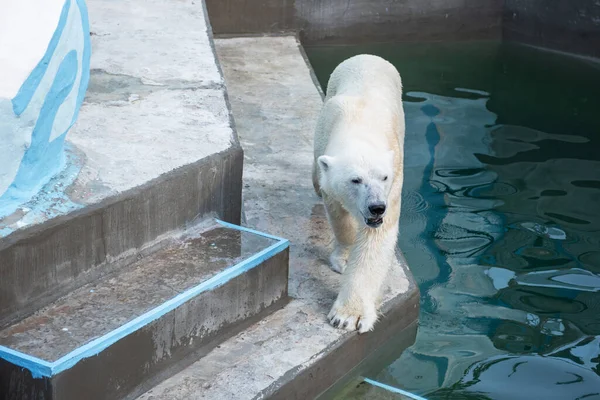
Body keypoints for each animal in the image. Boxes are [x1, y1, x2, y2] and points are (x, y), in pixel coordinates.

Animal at [312, 54, 406, 334]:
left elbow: (375, 241)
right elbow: (339, 215)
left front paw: (347, 316)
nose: (377, 207)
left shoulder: (394, 182)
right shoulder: (329, 170)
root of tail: (368, 56)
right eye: (355, 180)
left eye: (383, 177)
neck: (360, 127)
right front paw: (343, 258)